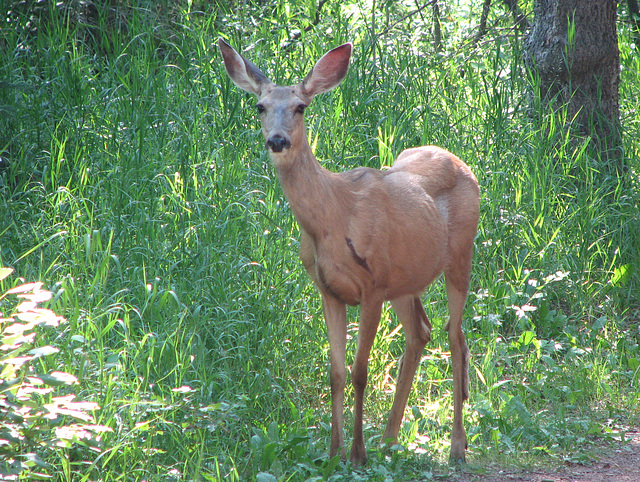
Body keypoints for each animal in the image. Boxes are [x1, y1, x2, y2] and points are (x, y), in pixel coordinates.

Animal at [218, 37, 478, 464]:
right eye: (260, 106)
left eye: (300, 106)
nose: (277, 140)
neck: (334, 217)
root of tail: (461, 162)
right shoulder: (329, 289)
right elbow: (336, 373)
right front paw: (334, 450)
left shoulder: (372, 286)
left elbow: (360, 371)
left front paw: (357, 453)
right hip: (405, 280)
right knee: (420, 333)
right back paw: (390, 438)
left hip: (459, 256)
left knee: (455, 337)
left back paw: (456, 444)